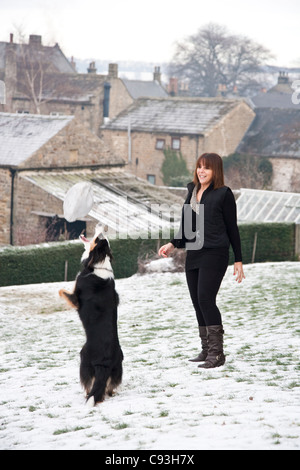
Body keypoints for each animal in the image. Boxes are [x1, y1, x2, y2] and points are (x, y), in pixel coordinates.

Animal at [58, 226, 123, 406]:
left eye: (98, 239)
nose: (102, 227)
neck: (98, 264)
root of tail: (104, 363)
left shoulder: (75, 298)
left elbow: (61, 291)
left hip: (83, 359)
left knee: (90, 386)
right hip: (118, 368)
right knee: (107, 388)